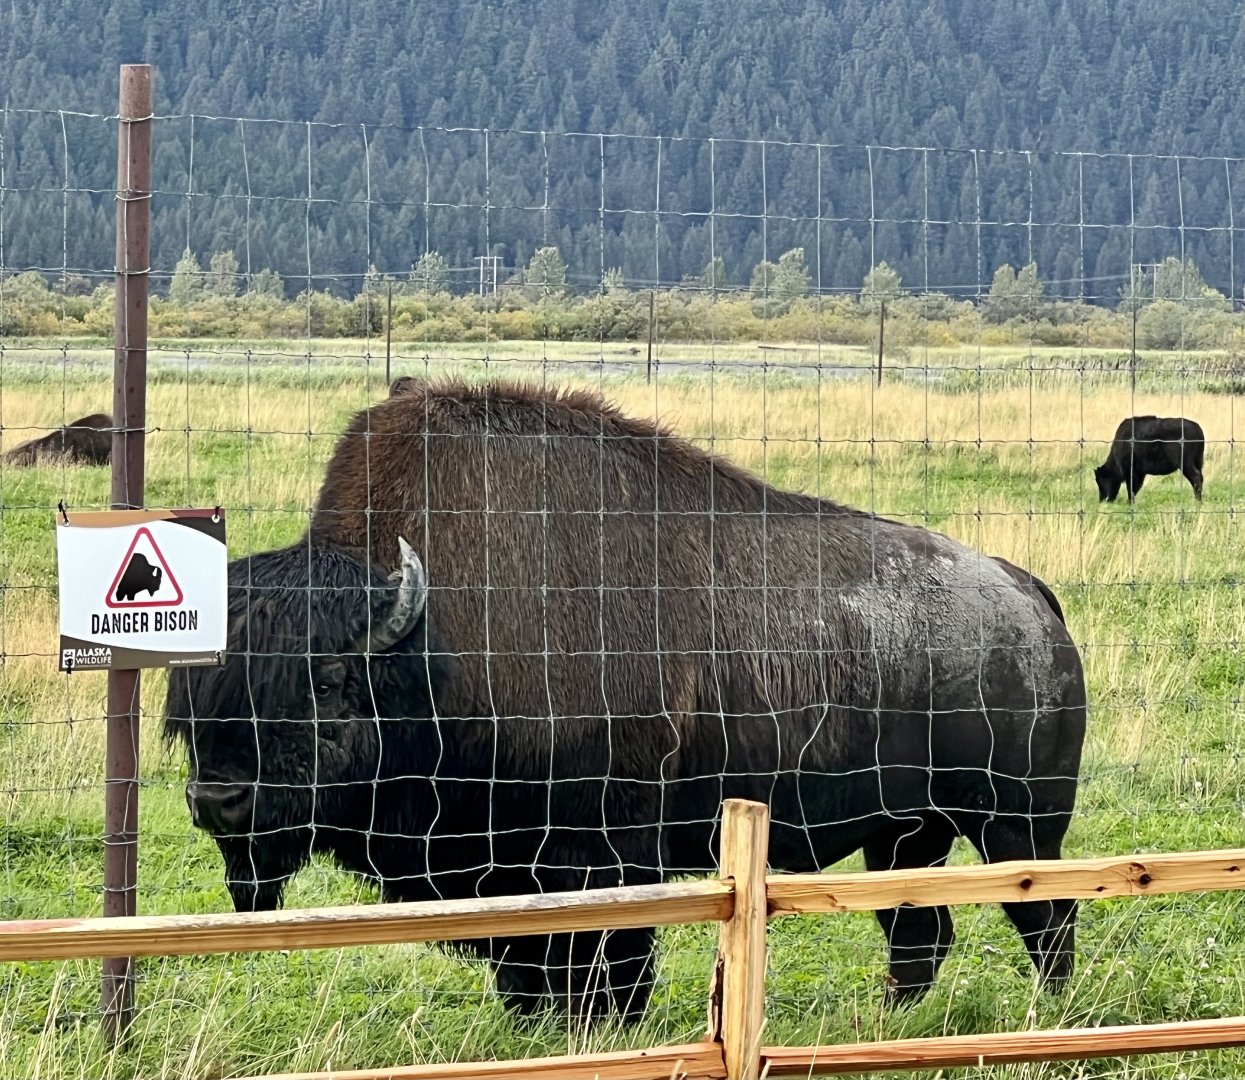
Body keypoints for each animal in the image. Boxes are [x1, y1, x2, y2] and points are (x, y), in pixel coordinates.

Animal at [165, 378, 1087, 1023]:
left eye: (325, 683)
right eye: (191, 696)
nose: (219, 800)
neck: (428, 647)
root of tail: (1027, 595)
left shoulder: (597, 856)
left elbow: (608, 964)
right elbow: (531, 973)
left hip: (1015, 823)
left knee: (1047, 916)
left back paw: (1046, 1013)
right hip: (905, 837)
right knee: (919, 933)